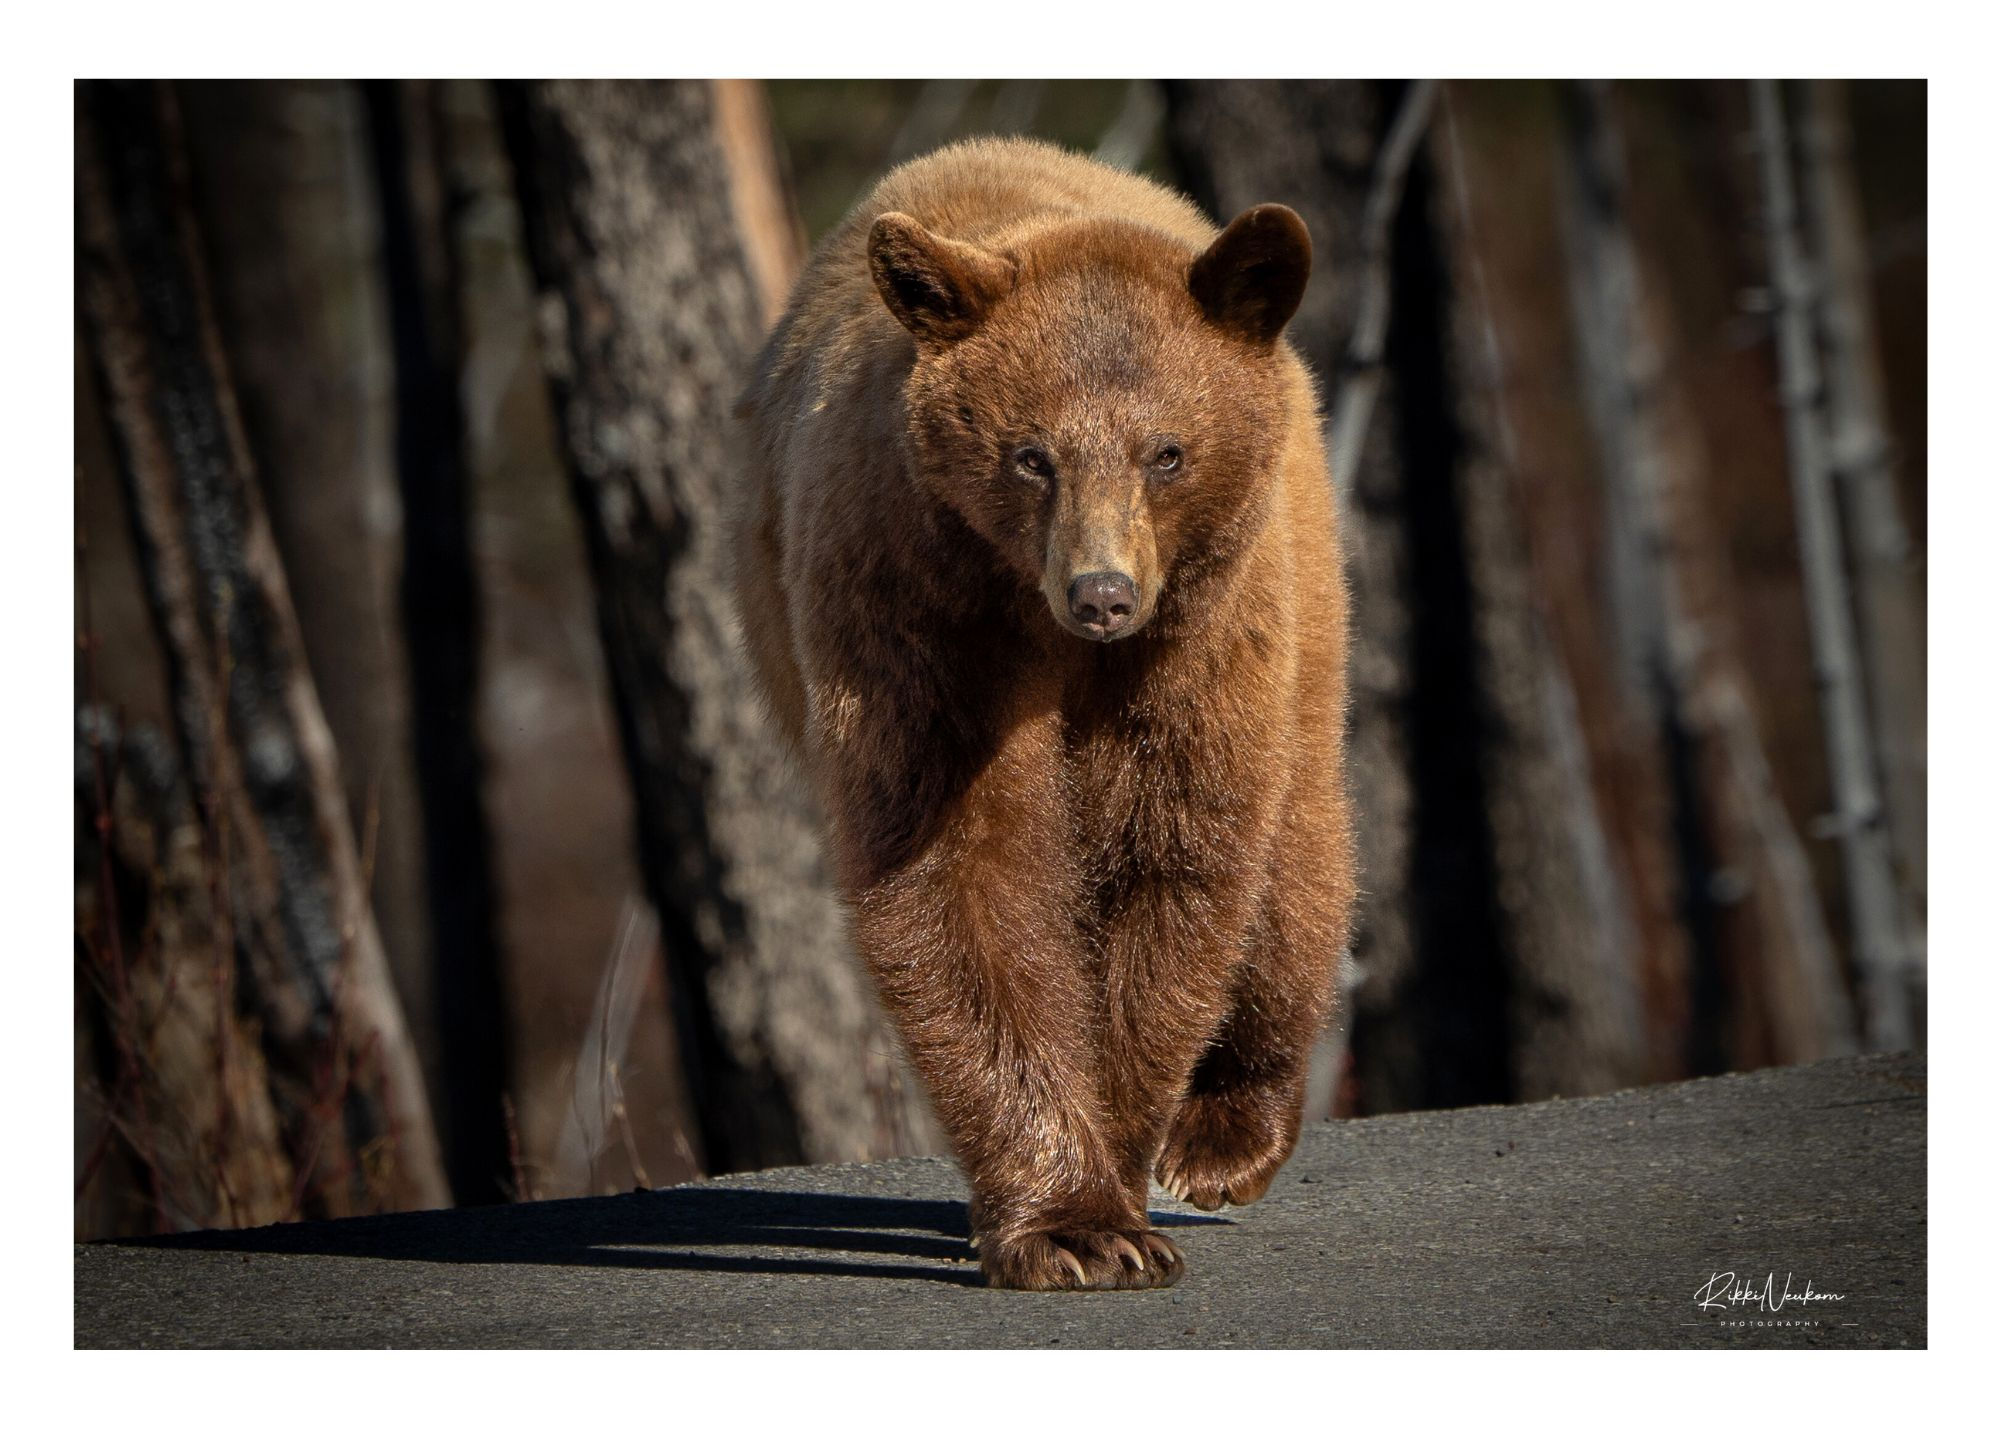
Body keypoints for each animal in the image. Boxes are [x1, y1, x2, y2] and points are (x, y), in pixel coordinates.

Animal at [731, 137, 1356, 1291]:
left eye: (1166, 451)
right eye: (1032, 454)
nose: (1101, 592)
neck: (1033, 615)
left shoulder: (1189, 637)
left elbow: (1169, 850)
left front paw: (1121, 1163)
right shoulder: (916, 607)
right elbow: (957, 864)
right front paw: (1073, 1223)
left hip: (1298, 582)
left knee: (1296, 842)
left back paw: (1226, 1132)